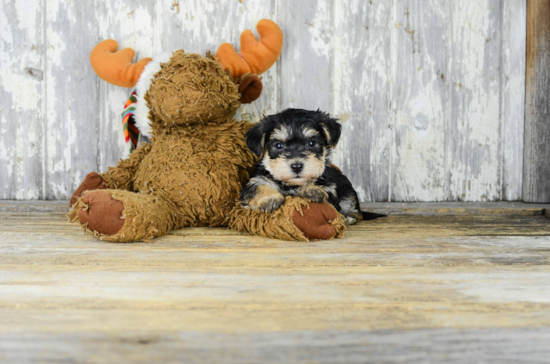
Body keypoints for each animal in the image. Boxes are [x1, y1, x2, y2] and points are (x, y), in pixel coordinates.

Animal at [239, 108, 386, 225]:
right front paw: (270, 199)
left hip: (347, 189)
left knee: (356, 210)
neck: (292, 184)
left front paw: (312, 190)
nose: (297, 166)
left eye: (311, 143)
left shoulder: (330, 189)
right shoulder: (256, 180)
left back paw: (348, 217)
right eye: (279, 146)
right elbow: (257, 188)